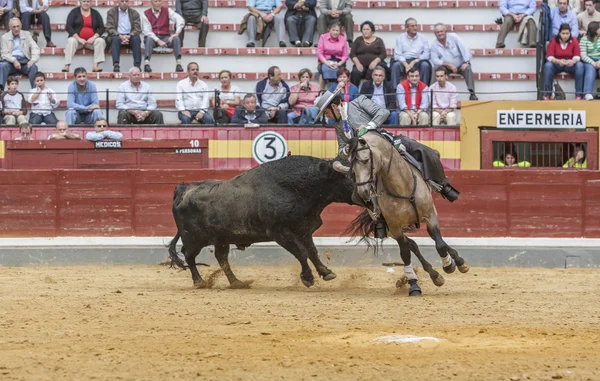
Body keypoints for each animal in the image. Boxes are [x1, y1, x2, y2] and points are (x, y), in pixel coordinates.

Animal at [168, 154, 356, 288]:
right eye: (350, 176)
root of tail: (184, 188)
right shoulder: (280, 232)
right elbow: (301, 252)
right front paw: (308, 278)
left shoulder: (303, 230)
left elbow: (312, 251)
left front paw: (326, 272)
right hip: (193, 238)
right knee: (188, 255)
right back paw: (199, 282)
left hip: (221, 239)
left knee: (221, 258)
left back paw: (237, 282)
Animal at [332, 131, 468, 296]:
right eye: (351, 167)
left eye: (365, 160)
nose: (363, 192)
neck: (401, 186)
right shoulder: (395, 227)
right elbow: (405, 254)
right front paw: (414, 285)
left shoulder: (431, 215)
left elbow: (440, 244)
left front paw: (448, 265)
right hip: (389, 229)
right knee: (411, 245)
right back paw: (434, 275)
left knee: (432, 240)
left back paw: (458, 262)